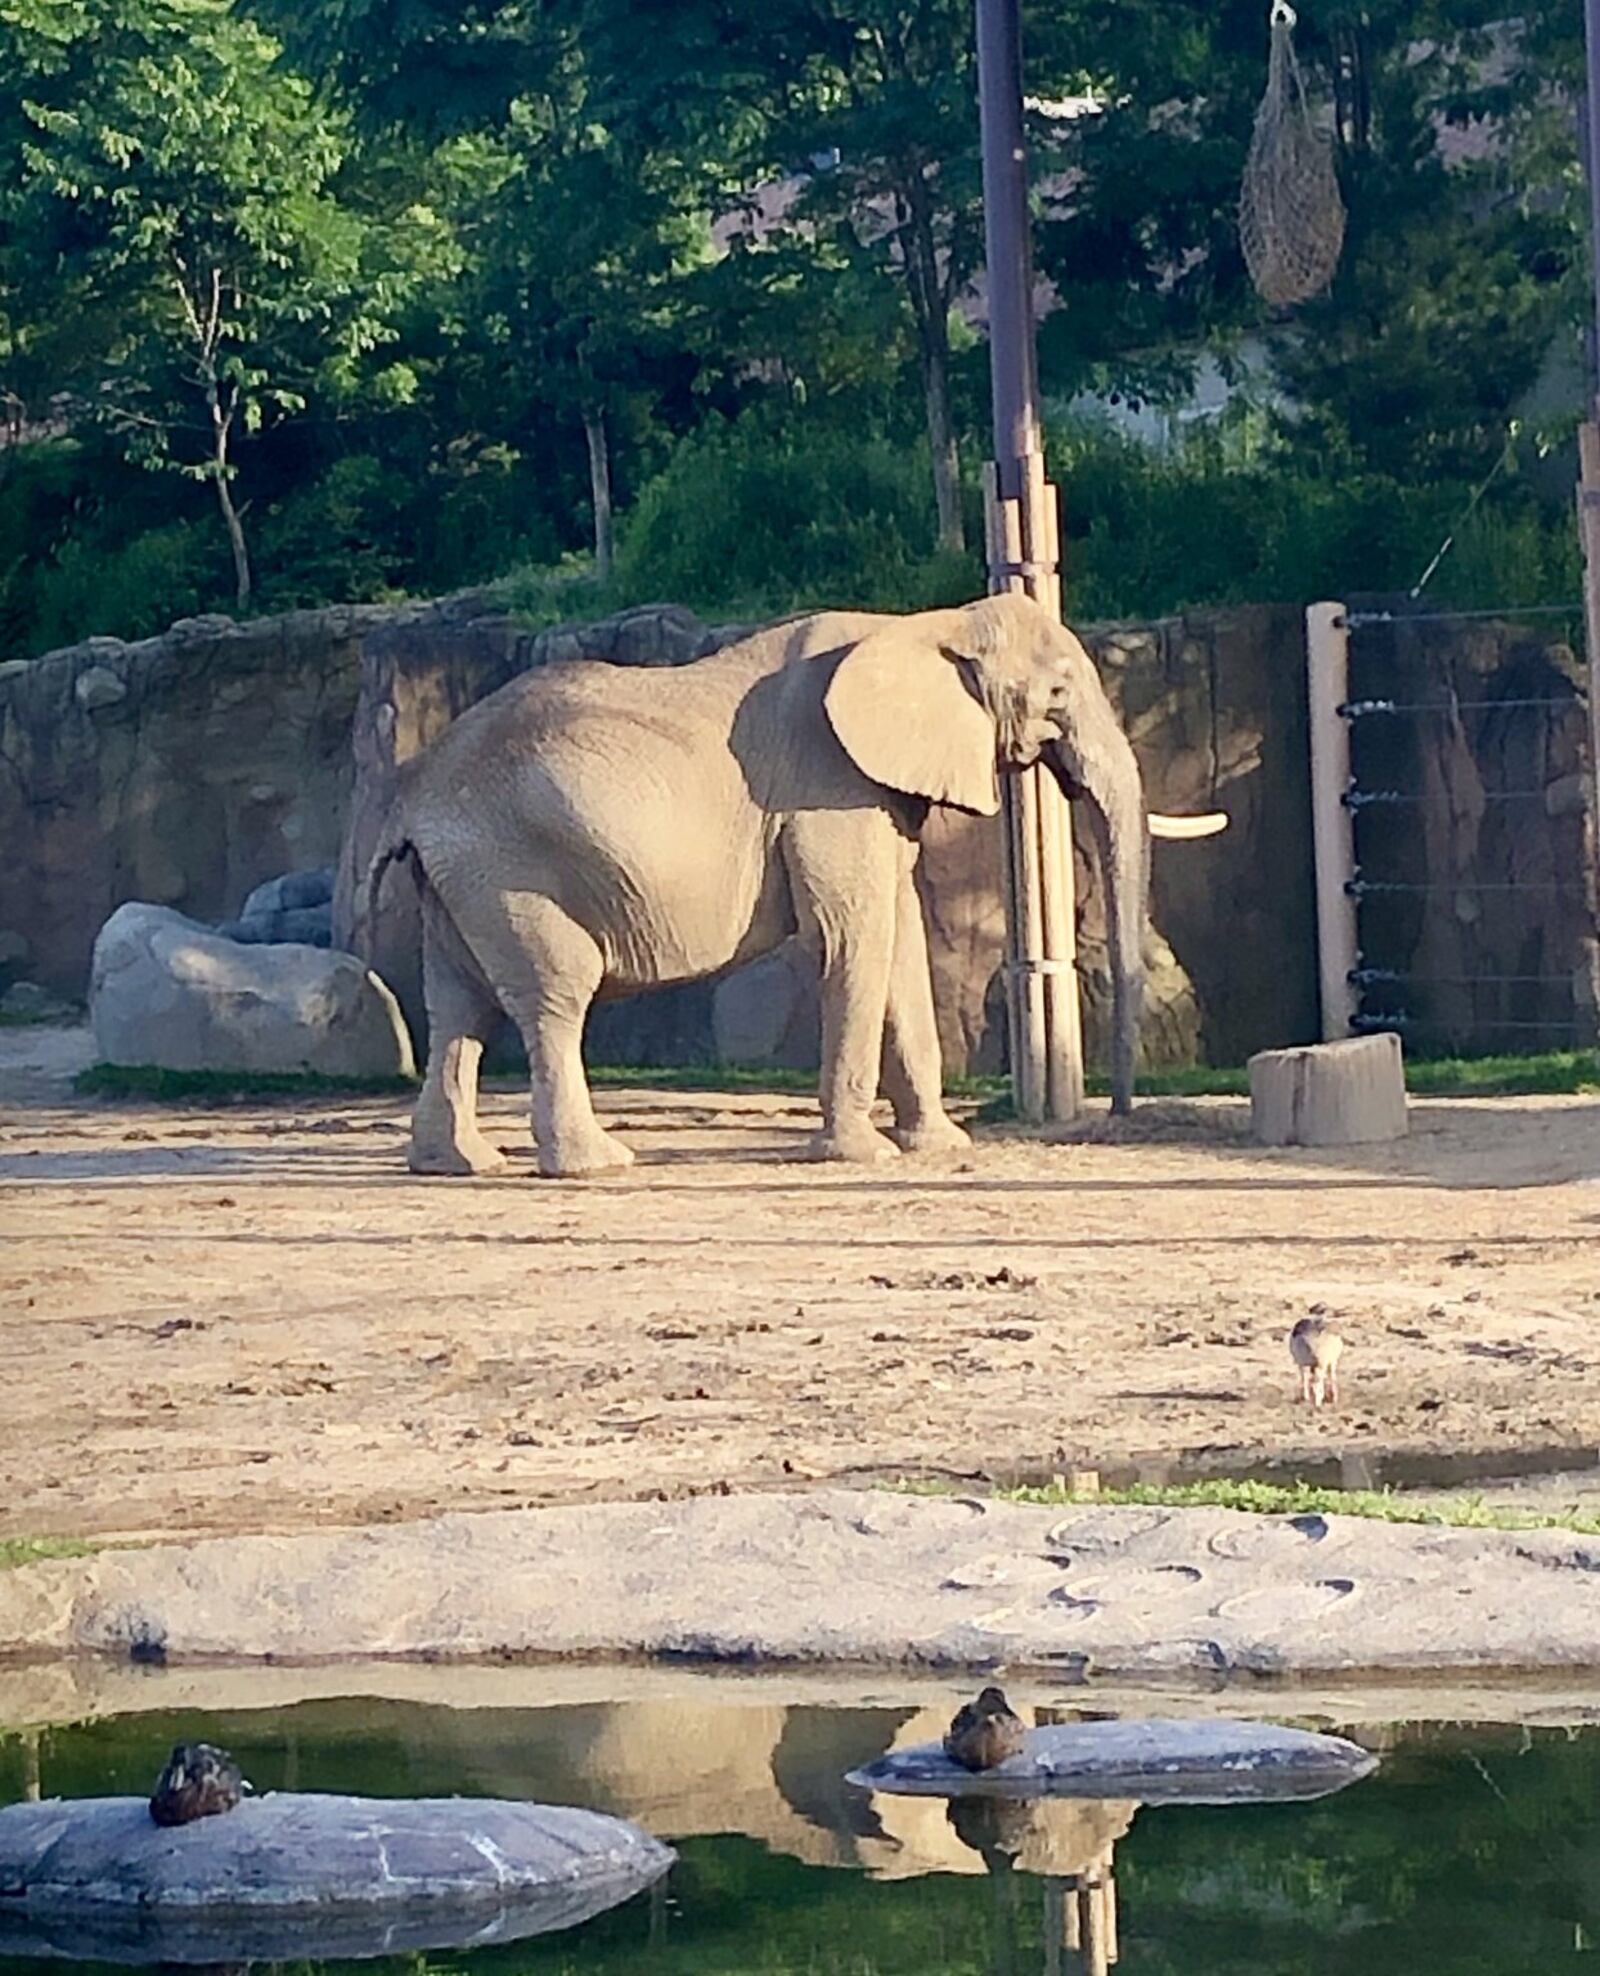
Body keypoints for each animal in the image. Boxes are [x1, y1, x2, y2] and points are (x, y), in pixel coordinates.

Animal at [365, 584, 1200, 1169]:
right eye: (1058, 691)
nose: (1116, 1113)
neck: (928, 623)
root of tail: (411, 789)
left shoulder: (872, 790)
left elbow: (898, 942)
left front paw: (940, 1147)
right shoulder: (828, 784)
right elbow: (850, 939)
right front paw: (862, 1155)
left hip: (463, 875)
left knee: (460, 1005)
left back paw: (459, 1165)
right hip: (511, 865)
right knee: (552, 997)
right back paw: (595, 1164)